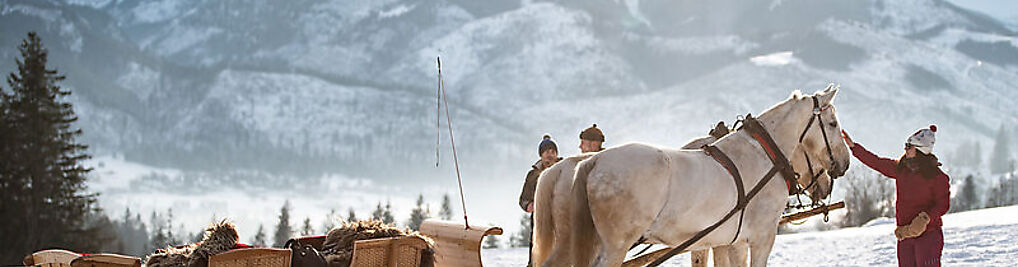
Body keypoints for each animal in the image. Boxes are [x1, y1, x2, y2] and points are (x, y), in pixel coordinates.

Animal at [529, 91, 838, 264]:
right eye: (833, 124)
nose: (841, 166)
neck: (763, 154)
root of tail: (593, 161)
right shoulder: (761, 236)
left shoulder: (727, 241)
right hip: (613, 244)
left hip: (576, 238)